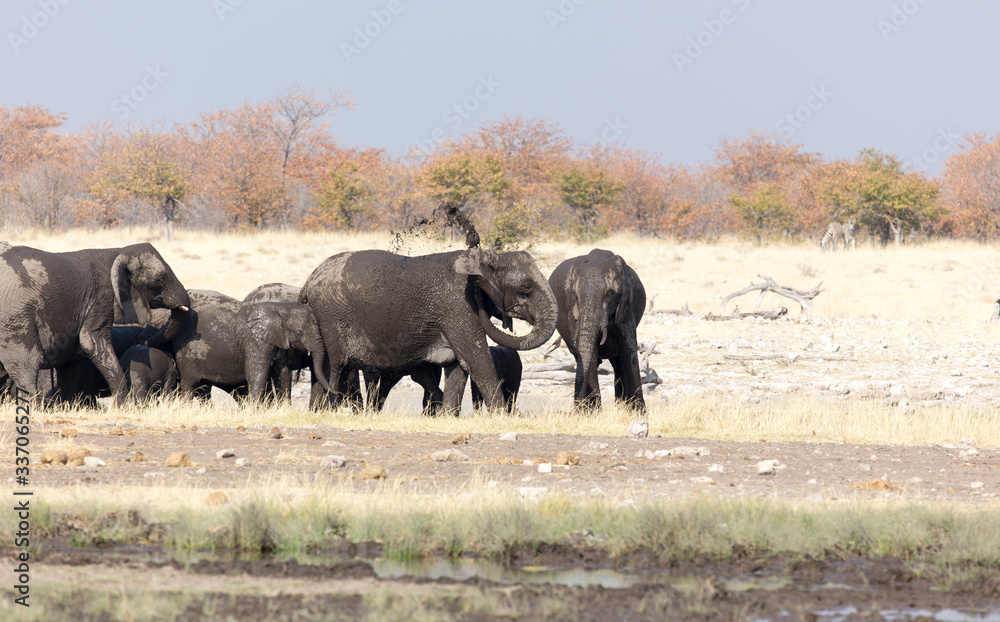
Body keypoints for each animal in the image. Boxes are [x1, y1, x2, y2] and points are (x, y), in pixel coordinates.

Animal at [0, 244, 191, 404]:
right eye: (161, 280)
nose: (145, 340)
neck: (118, 252)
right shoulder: (102, 296)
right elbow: (91, 343)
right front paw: (122, 406)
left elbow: (72, 361)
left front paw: (65, 406)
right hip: (16, 317)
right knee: (27, 363)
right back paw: (32, 406)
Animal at [300, 249, 560, 414]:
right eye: (526, 287)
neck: (482, 261)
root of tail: (309, 280)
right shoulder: (458, 305)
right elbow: (477, 360)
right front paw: (500, 417)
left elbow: (459, 366)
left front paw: (449, 417)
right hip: (332, 319)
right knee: (335, 366)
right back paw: (327, 412)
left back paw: (315, 413)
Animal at [548, 249, 648, 414]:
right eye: (576, 296)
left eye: (610, 294)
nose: (577, 409)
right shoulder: (573, 309)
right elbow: (591, 353)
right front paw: (592, 413)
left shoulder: (627, 306)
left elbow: (629, 351)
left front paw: (639, 413)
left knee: (618, 363)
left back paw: (621, 406)